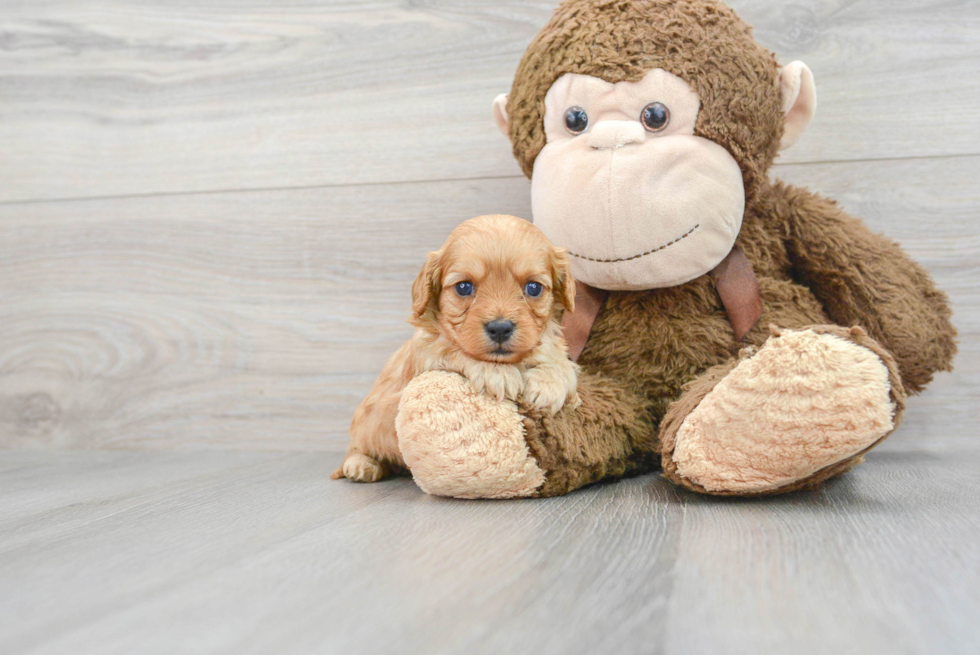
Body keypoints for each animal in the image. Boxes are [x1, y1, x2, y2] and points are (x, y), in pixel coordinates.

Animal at [334, 214, 580, 482]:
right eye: (464, 287)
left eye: (533, 288)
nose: (500, 328)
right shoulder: (427, 353)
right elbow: (455, 351)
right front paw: (497, 374)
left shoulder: (553, 348)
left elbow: (563, 364)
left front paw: (548, 385)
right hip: (365, 424)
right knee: (354, 448)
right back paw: (362, 465)